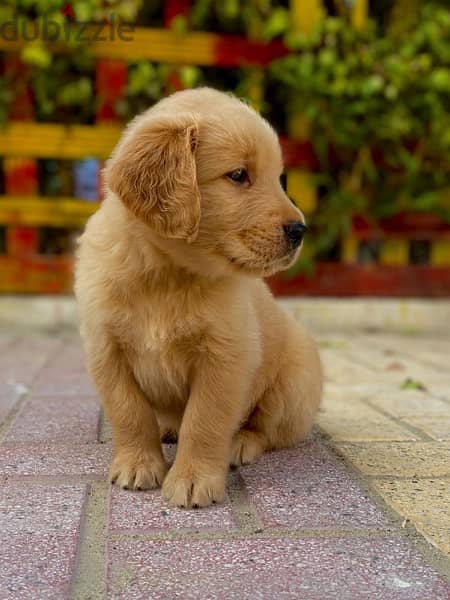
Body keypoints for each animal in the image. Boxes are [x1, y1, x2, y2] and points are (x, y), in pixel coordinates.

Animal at [76, 88, 324, 506]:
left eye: (279, 178)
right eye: (238, 175)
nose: (299, 230)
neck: (166, 272)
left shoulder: (225, 356)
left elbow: (204, 421)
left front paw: (193, 479)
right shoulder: (105, 351)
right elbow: (129, 413)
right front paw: (138, 464)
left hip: (293, 384)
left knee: (267, 430)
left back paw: (240, 443)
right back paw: (166, 428)